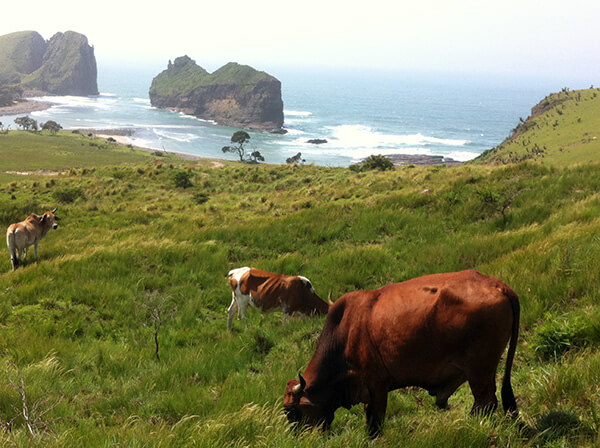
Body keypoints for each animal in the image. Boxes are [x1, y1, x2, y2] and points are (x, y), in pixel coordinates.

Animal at [284, 270, 516, 438]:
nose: (297, 438)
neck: (344, 331)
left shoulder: (377, 385)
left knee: (486, 403)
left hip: (479, 371)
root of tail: (498, 285)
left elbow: (375, 423)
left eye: (294, 412)